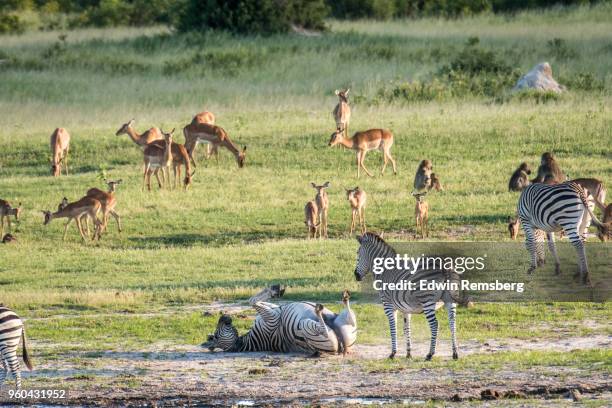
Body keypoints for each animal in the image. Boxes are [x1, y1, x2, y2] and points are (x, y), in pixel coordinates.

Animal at [203, 286, 356, 356]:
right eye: (215, 336)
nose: (224, 316)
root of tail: (342, 349)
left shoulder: (272, 311)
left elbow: (255, 299)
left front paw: (274, 290)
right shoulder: (272, 318)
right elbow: (252, 300)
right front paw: (274, 290)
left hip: (343, 325)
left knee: (350, 318)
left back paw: (344, 298)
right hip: (306, 326)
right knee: (324, 329)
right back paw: (319, 310)